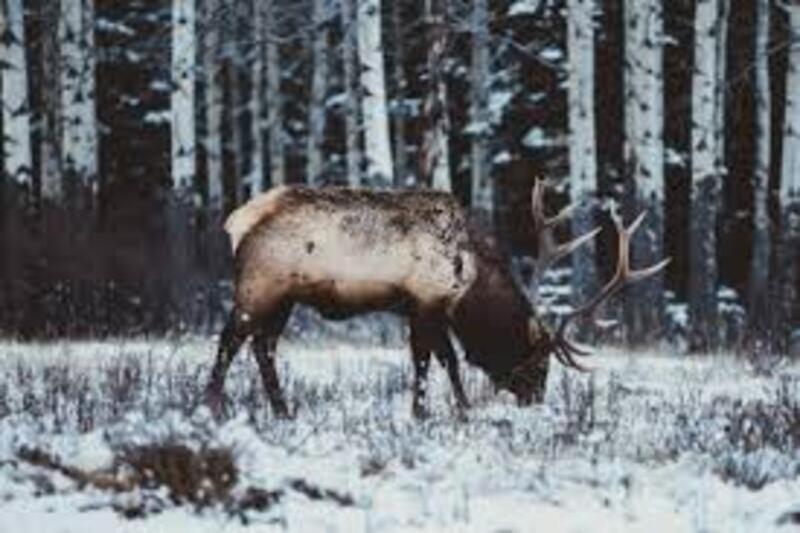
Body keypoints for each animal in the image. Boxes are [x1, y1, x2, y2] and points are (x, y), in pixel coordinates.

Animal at [205, 181, 668, 418]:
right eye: (539, 361)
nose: (535, 400)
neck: (471, 277)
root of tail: (235, 222)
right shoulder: (425, 302)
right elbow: (431, 360)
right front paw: (433, 411)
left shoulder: (430, 309)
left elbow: (443, 359)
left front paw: (452, 409)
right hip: (260, 285)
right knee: (230, 339)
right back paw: (214, 404)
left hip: (285, 299)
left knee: (263, 346)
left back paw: (282, 409)